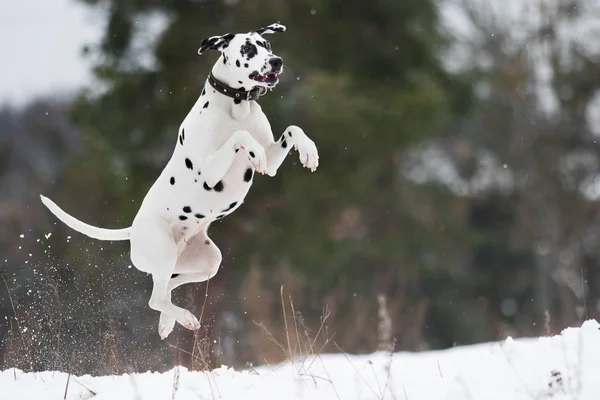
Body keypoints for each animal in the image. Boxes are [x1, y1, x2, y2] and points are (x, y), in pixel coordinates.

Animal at [38, 23, 318, 340]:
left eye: (267, 44)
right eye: (248, 49)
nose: (276, 61)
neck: (236, 104)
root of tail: (133, 230)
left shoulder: (271, 162)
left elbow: (292, 129)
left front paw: (309, 150)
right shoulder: (209, 170)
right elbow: (241, 137)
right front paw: (253, 149)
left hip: (207, 262)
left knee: (168, 287)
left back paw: (168, 321)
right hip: (163, 253)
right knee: (156, 297)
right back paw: (184, 318)